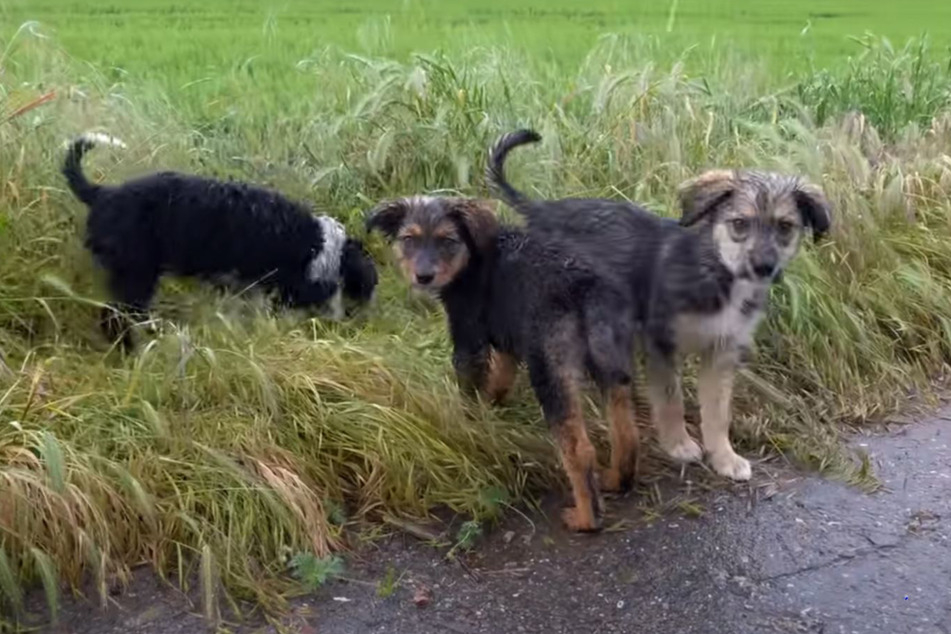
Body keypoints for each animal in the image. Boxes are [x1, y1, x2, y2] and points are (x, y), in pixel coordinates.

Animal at [368, 195, 644, 532]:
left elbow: (469, 393)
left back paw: (585, 517)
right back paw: (618, 479)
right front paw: (493, 407)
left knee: (578, 448)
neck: (472, 258)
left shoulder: (469, 341)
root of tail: (585, 285)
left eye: (447, 240)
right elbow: (500, 379)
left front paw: (469, 425)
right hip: (611, 362)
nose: (423, 276)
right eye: (409, 239)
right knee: (625, 428)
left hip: (550, 368)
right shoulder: (507, 341)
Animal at [490, 131, 832, 482]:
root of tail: (541, 209)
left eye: (785, 227)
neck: (716, 272)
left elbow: (718, 412)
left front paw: (724, 457)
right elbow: (670, 398)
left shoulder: (722, 351)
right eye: (739, 223)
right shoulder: (661, 342)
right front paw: (678, 444)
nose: (764, 267)